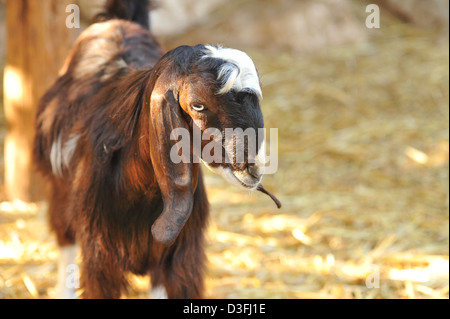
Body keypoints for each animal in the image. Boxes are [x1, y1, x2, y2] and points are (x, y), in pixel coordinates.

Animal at [33, 0, 280, 300]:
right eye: (198, 105)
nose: (253, 168)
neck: (138, 191)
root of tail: (119, 21)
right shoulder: (101, 256)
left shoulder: (174, 258)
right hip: (60, 192)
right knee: (64, 239)